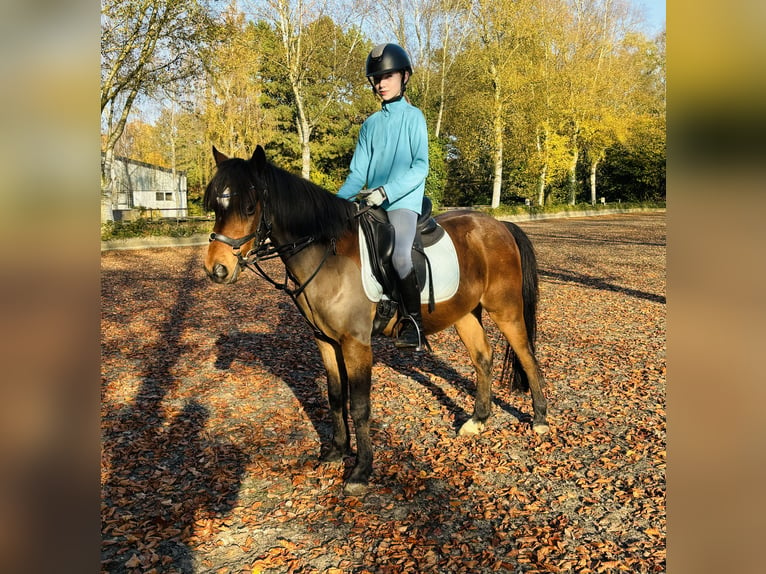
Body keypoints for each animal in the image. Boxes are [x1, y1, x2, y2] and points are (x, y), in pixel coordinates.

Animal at [206, 146, 552, 498]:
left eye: (249, 208)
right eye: (216, 207)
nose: (217, 269)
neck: (326, 254)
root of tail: (498, 225)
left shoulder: (356, 344)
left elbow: (360, 406)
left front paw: (361, 470)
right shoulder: (325, 341)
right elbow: (335, 396)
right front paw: (336, 452)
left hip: (505, 309)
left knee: (527, 355)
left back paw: (539, 418)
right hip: (465, 313)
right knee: (483, 357)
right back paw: (478, 419)